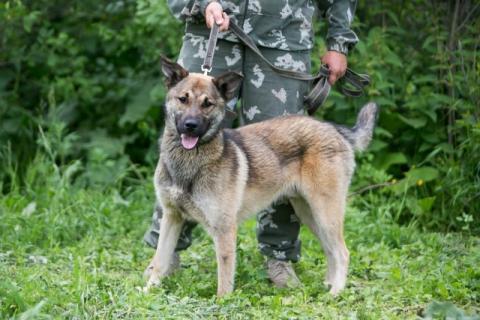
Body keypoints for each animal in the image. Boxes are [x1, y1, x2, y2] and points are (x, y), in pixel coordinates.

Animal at [144, 57, 376, 298]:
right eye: (183, 99)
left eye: (207, 104)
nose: (191, 125)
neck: (188, 162)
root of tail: (336, 130)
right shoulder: (171, 217)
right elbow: (160, 259)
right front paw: (148, 290)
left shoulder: (224, 229)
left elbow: (224, 278)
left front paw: (221, 302)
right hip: (311, 215)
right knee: (330, 250)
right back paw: (327, 286)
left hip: (326, 213)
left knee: (342, 252)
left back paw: (335, 292)